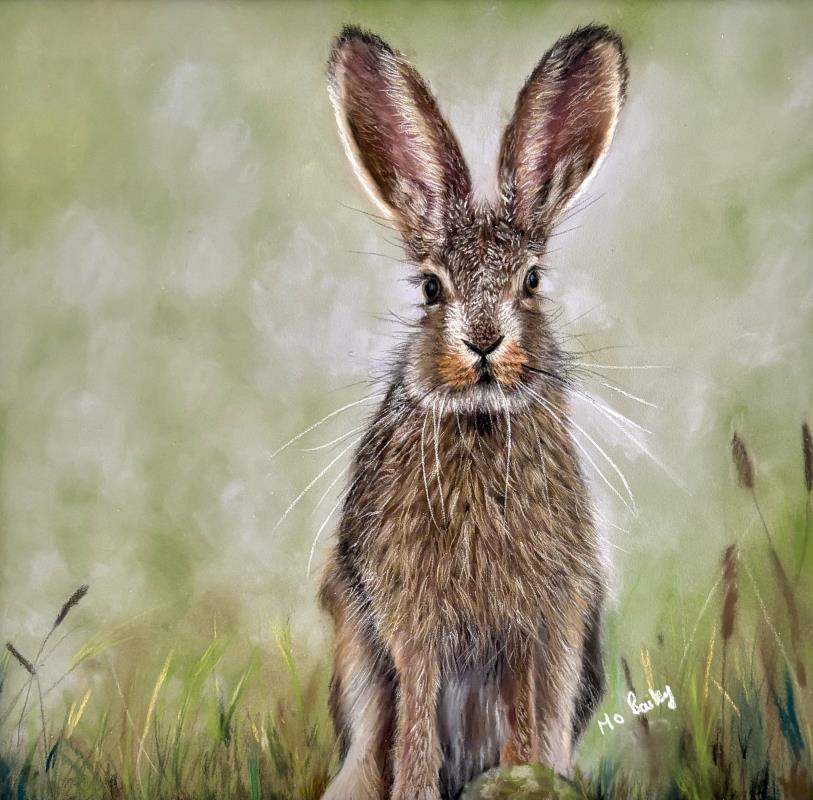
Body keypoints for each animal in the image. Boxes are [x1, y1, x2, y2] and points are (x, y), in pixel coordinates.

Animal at [318, 23, 627, 800]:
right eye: (431, 288)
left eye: (532, 281)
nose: (483, 341)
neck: (482, 421)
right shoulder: (409, 625)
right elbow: (417, 716)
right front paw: (417, 790)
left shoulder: (536, 623)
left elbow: (524, 713)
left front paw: (523, 779)